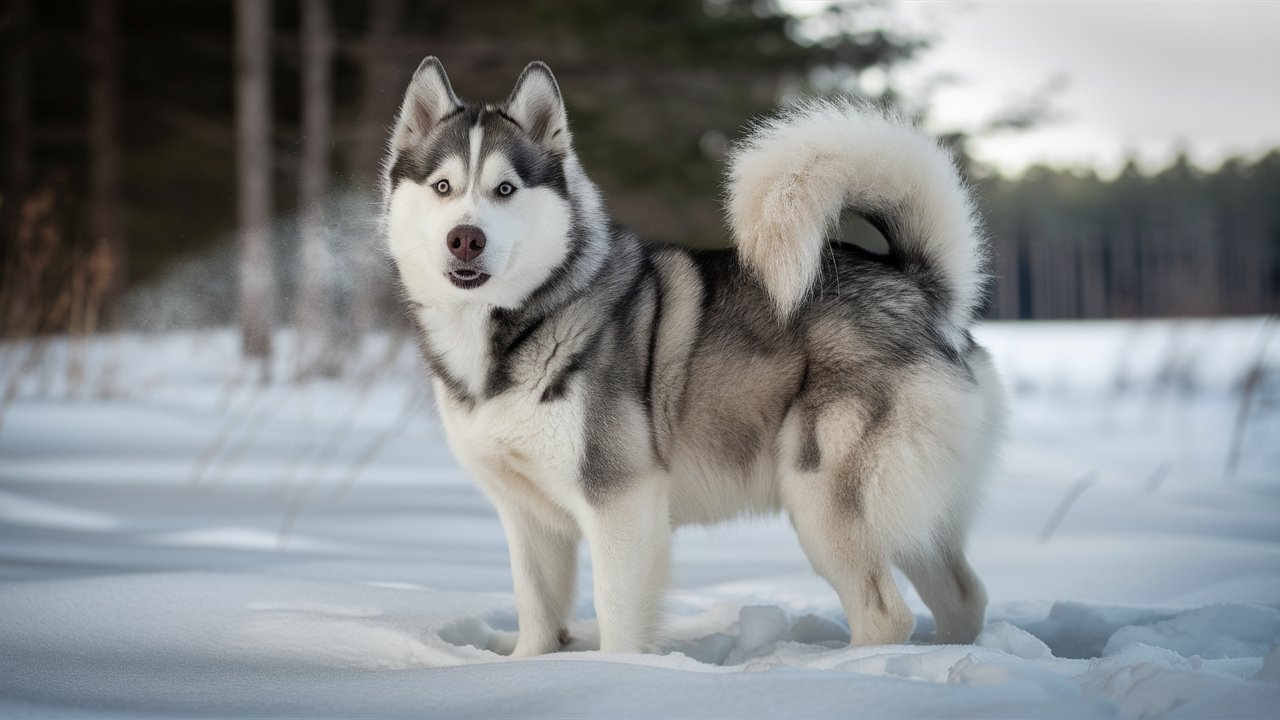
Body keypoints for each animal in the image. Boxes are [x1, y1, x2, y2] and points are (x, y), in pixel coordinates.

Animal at [384, 58, 1003, 653]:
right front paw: (527, 668)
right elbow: (537, 616)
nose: (466, 238)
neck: (523, 322)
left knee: (886, 616)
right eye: (443, 187)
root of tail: (922, 289)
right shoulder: (529, 517)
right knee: (964, 597)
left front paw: (613, 671)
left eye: (506, 189)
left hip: (823, 501)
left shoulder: (621, 501)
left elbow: (617, 618)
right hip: (912, 513)